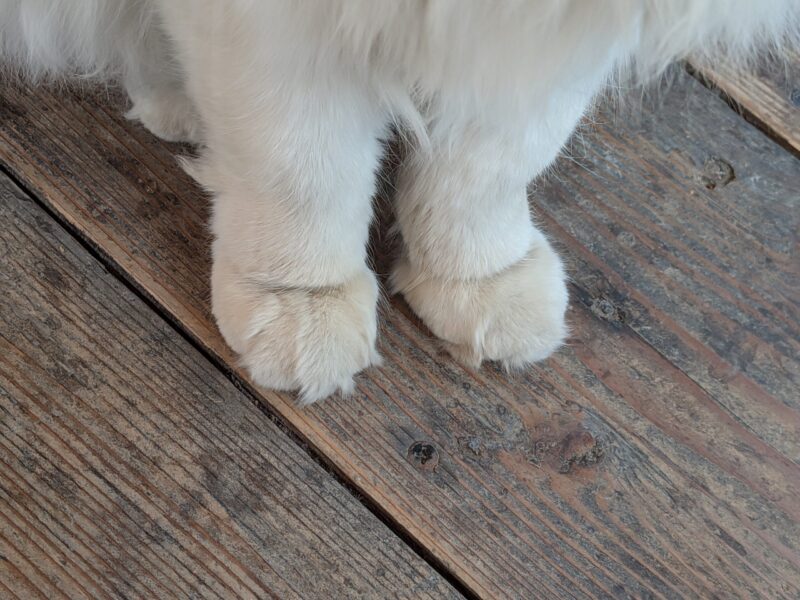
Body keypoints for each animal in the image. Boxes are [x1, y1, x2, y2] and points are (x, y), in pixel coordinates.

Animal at [1, 1, 797, 403]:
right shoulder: (280, 31)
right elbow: (302, 165)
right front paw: (302, 304)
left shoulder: (552, 38)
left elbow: (497, 160)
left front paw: (480, 277)